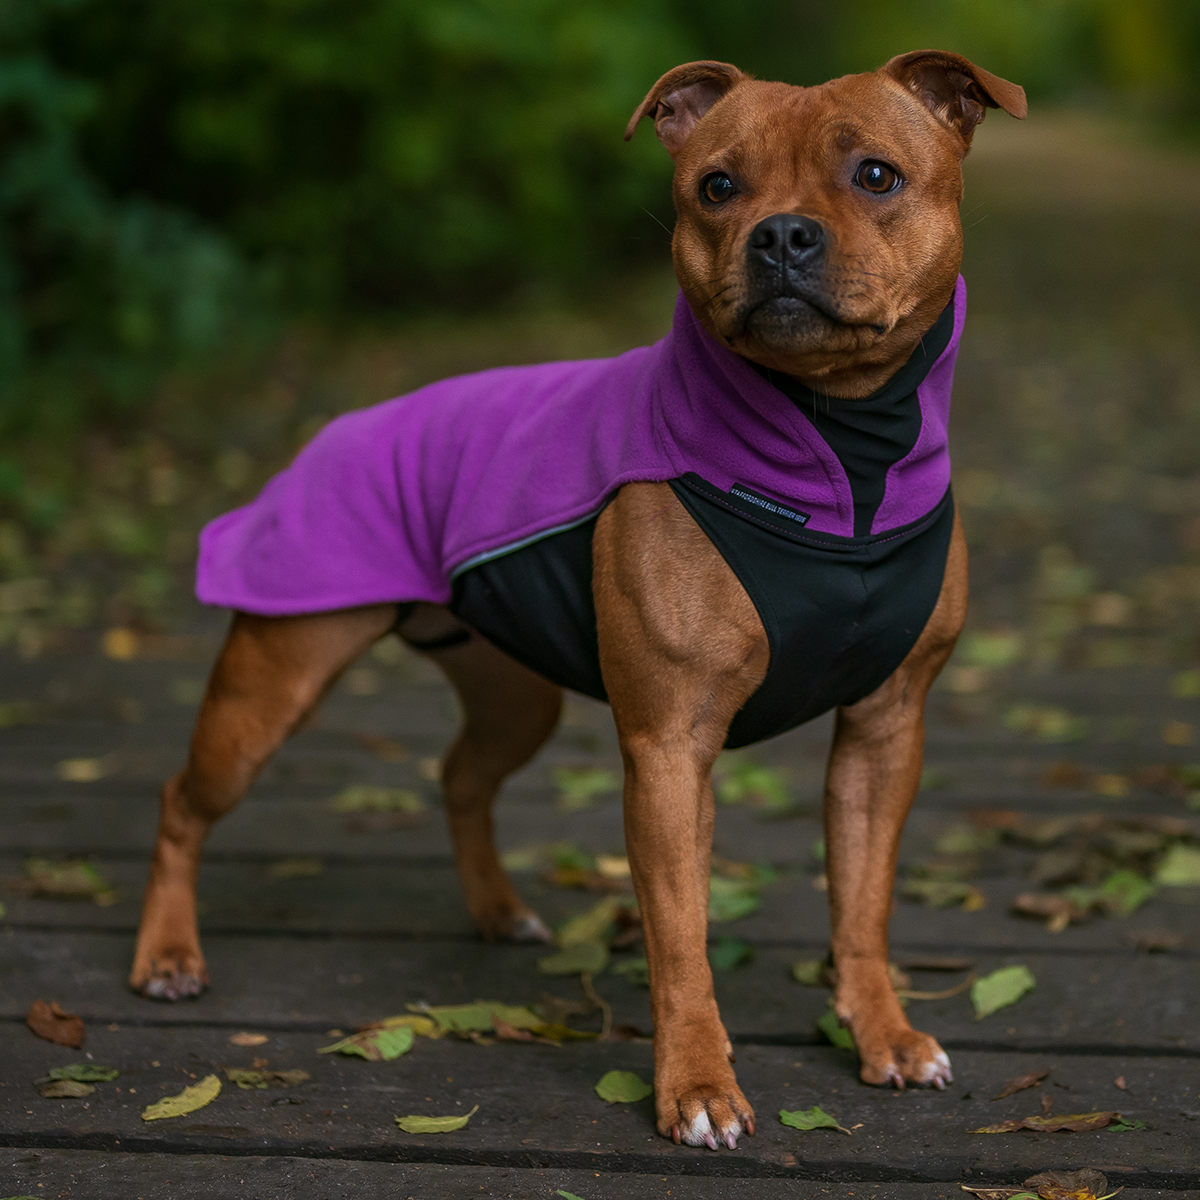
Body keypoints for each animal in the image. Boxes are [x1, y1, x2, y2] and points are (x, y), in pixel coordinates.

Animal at [136, 49, 1027, 1152]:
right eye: (716, 188)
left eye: (875, 175)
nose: (781, 234)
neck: (844, 458)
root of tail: (338, 427)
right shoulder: (669, 747)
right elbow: (680, 935)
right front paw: (698, 1086)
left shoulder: (884, 729)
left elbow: (862, 906)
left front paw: (884, 1036)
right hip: (272, 680)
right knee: (185, 800)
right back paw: (167, 957)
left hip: (513, 695)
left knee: (461, 776)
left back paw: (495, 910)